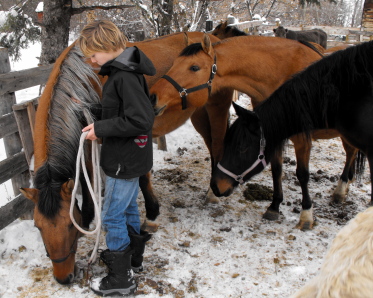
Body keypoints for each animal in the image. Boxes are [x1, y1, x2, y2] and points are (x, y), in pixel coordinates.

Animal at [20, 31, 224, 286]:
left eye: (68, 225)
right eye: (38, 226)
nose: (63, 277)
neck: (88, 77)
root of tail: (213, 37)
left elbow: (142, 178)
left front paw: (152, 215)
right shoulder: (87, 138)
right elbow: (86, 177)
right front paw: (88, 217)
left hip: (213, 109)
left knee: (217, 144)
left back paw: (213, 192)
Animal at [150, 33, 356, 229]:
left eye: (194, 67)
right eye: (173, 64)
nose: (153, 96)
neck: (280, 72)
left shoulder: (301, 138)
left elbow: (303, 175)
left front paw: (306, 215)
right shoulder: (270, 131)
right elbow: (276, 168)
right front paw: (274, 206)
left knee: (351, 152)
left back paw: (340, 190)